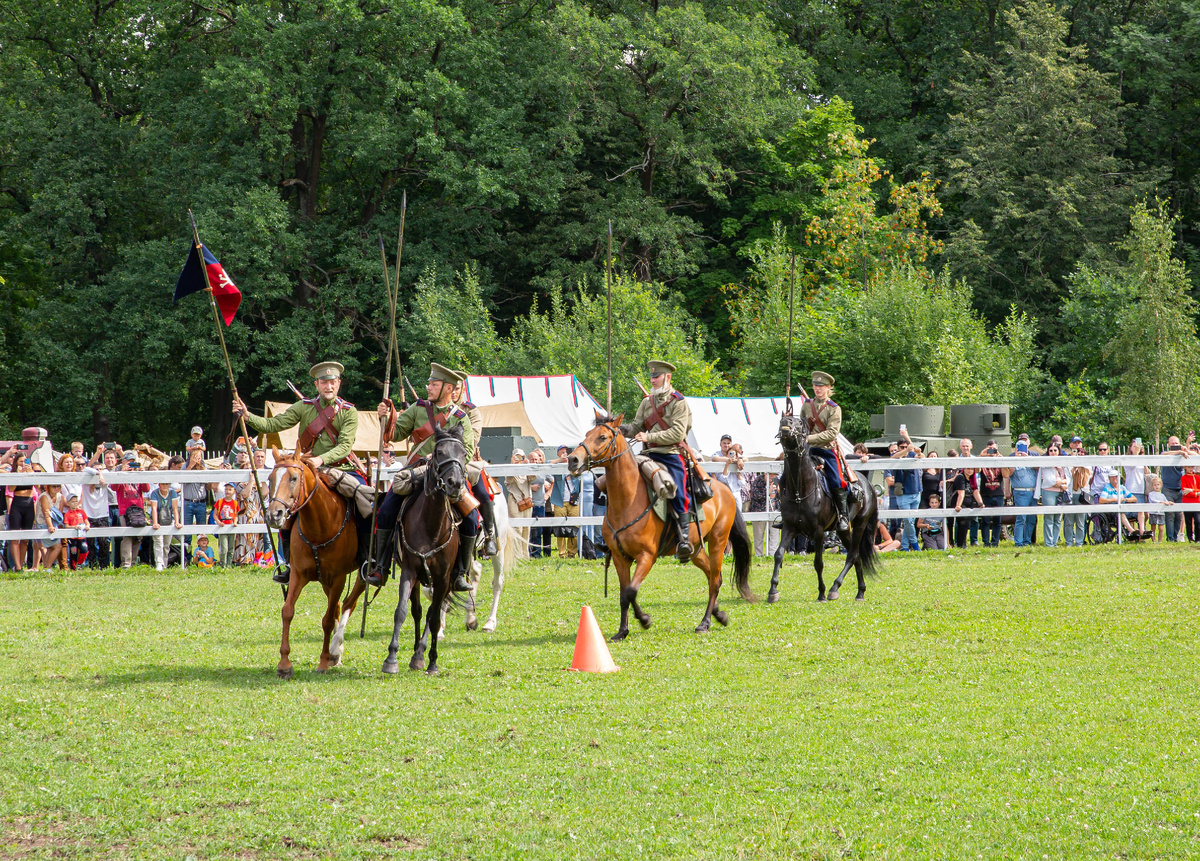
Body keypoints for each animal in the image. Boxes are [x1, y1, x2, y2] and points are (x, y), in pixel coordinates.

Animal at [266, 450, 364, 681]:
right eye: (270, 479)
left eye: (294, 478)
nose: (274, 514)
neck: (320, 525)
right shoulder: (298, 575)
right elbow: (287, 611)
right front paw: (284, 665)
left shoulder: (338, 578)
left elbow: (327, 620)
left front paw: (323, 662)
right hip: (325, 581)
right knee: (338, 606)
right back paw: (336, 654)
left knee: (349, 603)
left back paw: (335, 650)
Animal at [381, 422, 465, 676]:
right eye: (439, 452)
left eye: (463, 454)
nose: (455, 484)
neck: (431, 526)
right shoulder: (409, 571)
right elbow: (401, 611)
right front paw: (391, 658)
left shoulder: (443, 578)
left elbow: (435, 618)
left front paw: (433, 662)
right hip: (419, 578)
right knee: (418, 611)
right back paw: (415, 655)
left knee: (430, 613)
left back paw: (420, 654)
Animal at [566, 412, 753, 642]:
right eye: (587, 434)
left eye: (602, 437)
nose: (573, 459)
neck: (627, 500)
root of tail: (723, 488)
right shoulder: (620, 558)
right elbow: (624, 594)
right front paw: (622, 631)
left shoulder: (647, 556)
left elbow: (631, 591)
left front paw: (644, 620)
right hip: (696, 550)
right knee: (713, 577)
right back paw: (719, 615)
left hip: (718, 542)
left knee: (713, 581)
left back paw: (705, 622)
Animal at [768, 412, 883, 604]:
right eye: (781, 420)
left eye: (799, 423)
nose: (786, 423)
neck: (800, 489)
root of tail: (868, 485)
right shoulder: (789, 528)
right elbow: (778, 554)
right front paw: (773, 590)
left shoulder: (818, 532)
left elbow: (818, 563)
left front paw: (821, 593)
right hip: (843, 531)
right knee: (856, 556)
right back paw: (860, 592)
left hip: (859, 525)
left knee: (852, 555)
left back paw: (834, 588)